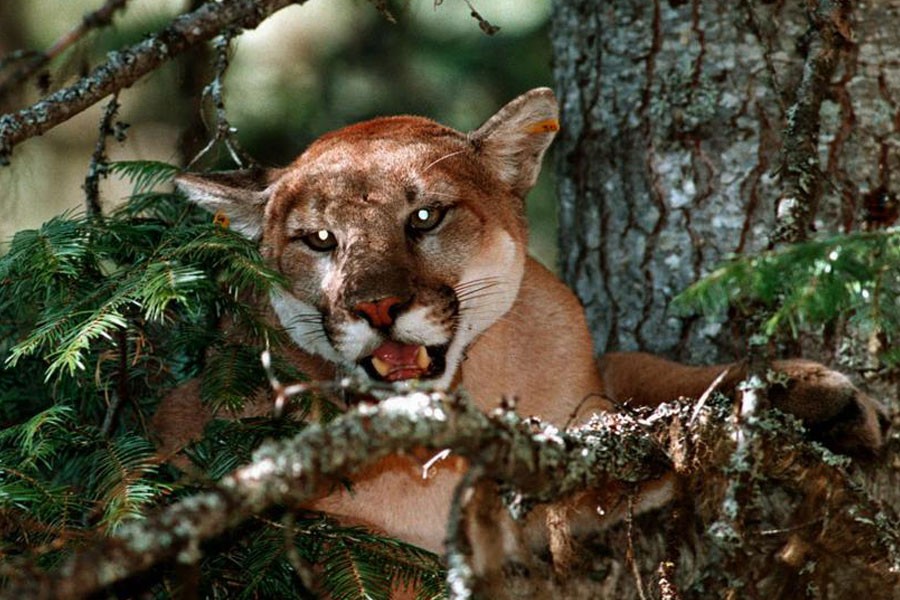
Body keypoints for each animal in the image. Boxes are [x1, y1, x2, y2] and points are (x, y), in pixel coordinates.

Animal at [155, 88, 884, 556]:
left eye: (425, 217)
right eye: (319, 240)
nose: (376, 307)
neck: (483, 379)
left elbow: (638, 382)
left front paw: (805, 394)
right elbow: (595, 468)